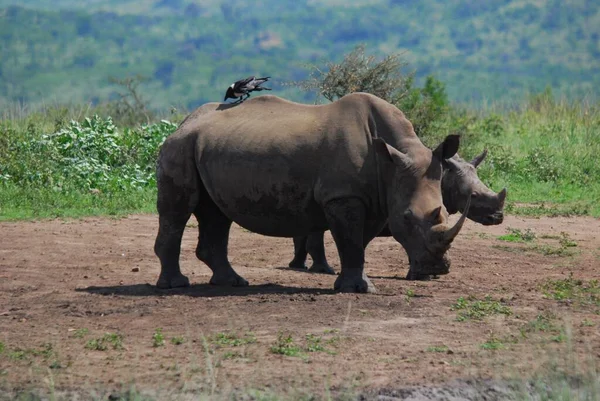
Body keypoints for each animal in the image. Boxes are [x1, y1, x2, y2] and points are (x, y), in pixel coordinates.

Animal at [154, 92, 468, 292]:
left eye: (443, 212)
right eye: (406, 218)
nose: (438, 269)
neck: (392, 161)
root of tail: (183, 123)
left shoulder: (378, 197)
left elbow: (359, 242)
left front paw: (354, 284)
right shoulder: (343, 195)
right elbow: (350, 241)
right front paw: (359, 289)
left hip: (208, 148)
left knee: (216, 213)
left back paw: (232, 282)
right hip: (179, 147)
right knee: (179, 211)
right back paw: (175, 285)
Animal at [290, 150, 506, 278]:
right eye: (474, 196)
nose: (498, 218)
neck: (444, 177)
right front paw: (421, 275)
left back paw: (299, 266)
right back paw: (324, 271)